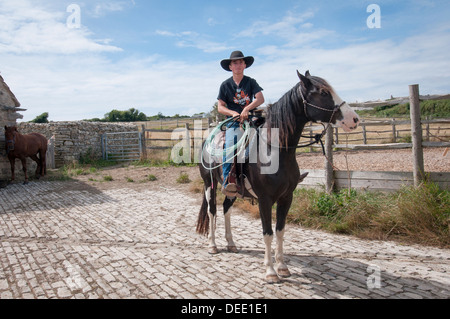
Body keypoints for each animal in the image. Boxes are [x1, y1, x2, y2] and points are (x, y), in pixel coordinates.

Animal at [195, 71, 360, 284]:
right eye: (323, 92)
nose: (354, 119)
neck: (275, 151)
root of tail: (207, 140)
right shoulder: (265, 199)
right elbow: (268, 233)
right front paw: (270, 271)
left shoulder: (286, 198)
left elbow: (280, 231)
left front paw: (282, 267)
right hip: (210, 184)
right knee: (212, 211)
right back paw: (213, 245)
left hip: (231, 190)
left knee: (226, 209)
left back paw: (231, 243)